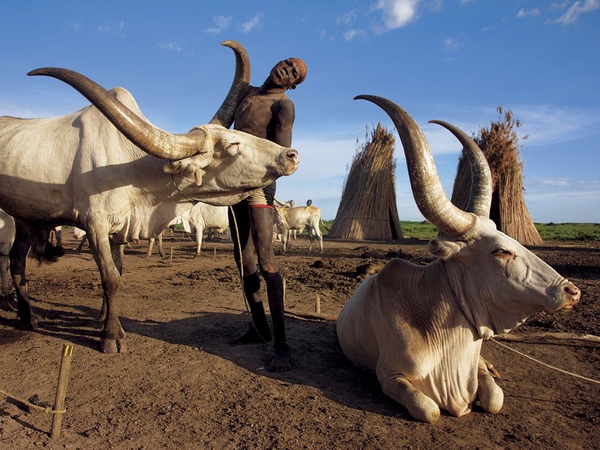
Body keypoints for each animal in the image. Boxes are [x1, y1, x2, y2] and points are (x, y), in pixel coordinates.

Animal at [0, 40, 300, 354]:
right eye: (232, 145)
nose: (290, 155)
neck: (133, 166)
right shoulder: (95, 223)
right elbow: (110, 277)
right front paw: (111, 336)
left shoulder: (118, 228)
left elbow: (117, 271)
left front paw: (104, 319)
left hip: (25, 217)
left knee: (17, 262)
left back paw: (27, 317)